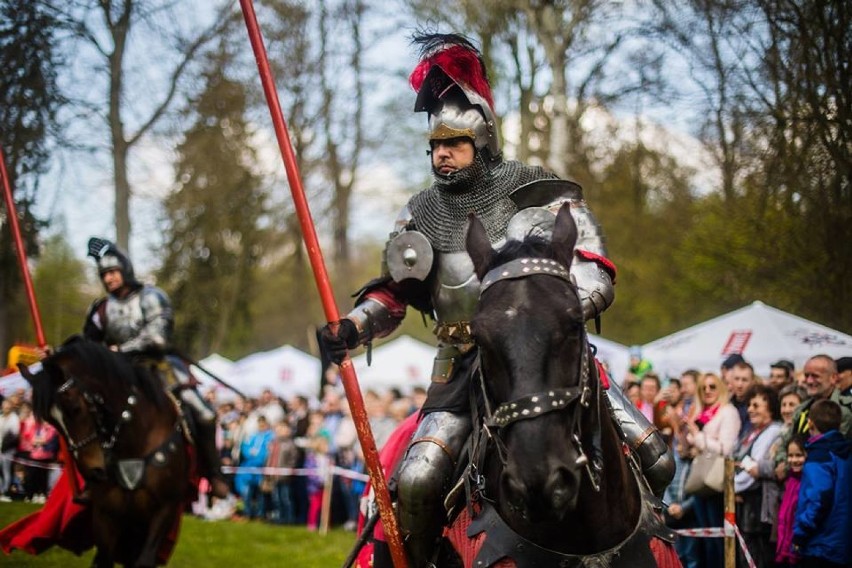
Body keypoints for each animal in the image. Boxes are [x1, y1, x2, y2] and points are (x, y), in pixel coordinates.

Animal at [20, 338, 191, 568]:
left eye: (75, 408)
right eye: (51, 421)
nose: (93, 472)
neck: (135, 442)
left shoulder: (164, 510)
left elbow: (144, 560)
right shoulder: (105, 516)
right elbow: (104, 559)